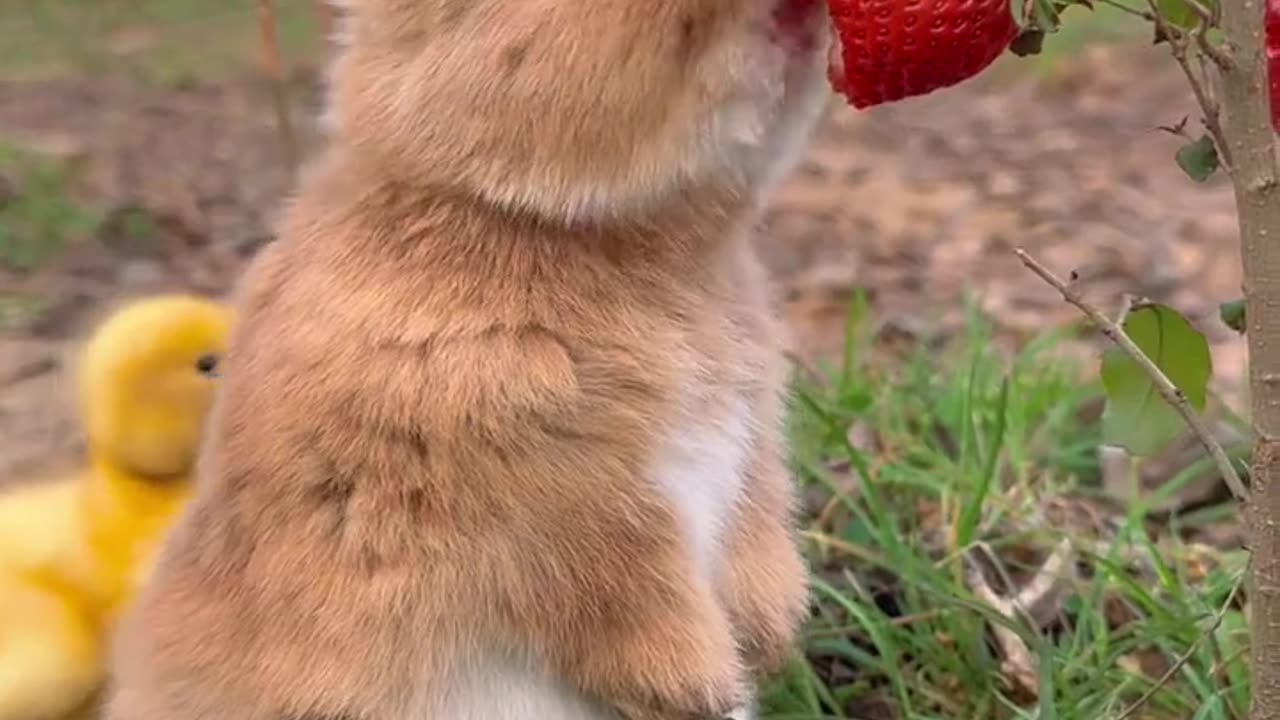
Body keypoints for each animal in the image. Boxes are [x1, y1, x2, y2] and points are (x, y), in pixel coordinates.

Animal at [104, 1, 834, 717]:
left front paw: (768, 638)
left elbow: (758, 522)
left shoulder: (752, 440)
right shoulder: (539, 495)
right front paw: (701, 682)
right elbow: (621, 578)